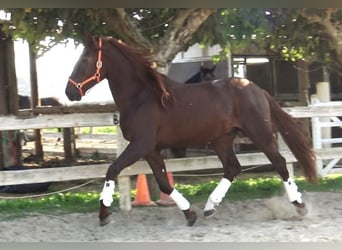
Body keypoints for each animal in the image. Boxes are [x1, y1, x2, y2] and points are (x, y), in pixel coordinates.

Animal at [65, 34, 316, 228]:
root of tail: (256, 88)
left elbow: (112, 170)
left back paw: (300, 206)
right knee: (233, 167)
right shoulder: (151, 149)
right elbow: (164, 183)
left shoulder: (141, 144)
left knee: (280, 163)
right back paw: (209, 207)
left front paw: (104, 214)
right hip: (222, 139)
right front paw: (190, 214)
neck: (142, 97)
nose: (70, 92)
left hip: (259, 133)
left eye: (85, 59)